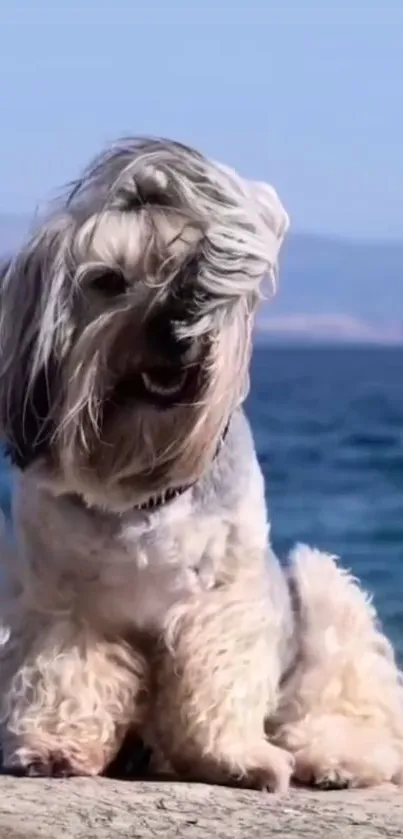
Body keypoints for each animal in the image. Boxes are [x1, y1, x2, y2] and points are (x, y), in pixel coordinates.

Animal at [0, 135, 402, 792]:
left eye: (194, 269)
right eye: (108, 280)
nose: (176, 330)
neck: (138, 484)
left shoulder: (223, 598)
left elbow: (219, 678)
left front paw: (231, 759)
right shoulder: (60, 597)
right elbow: (66, 672)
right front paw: (53, 749)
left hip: (319, 589)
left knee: (339, 697)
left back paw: (336, 759)